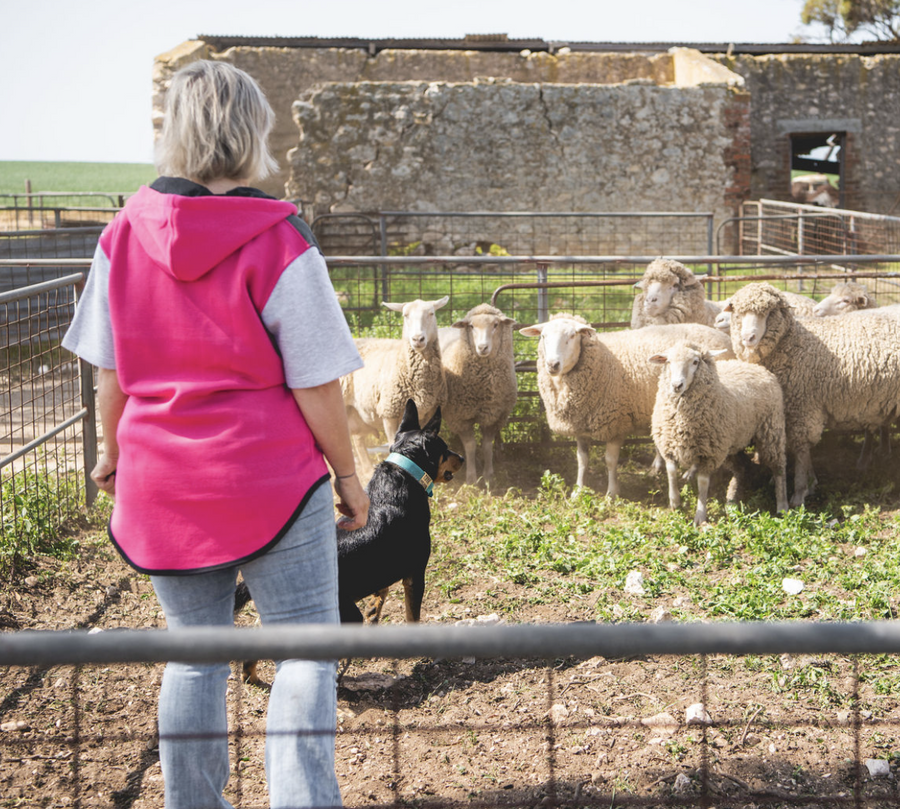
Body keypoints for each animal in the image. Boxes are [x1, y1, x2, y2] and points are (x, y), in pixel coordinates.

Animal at [341, 296, 449, 469]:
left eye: (431, 313)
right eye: (405, 315)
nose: (417, 339)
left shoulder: (426, 412)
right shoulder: (389, 412)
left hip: (354, 409)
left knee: (357, 439)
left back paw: (366, 468)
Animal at [440, 303, 518, 486]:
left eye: (496, 325)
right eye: (471, 326)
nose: (483, 347)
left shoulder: (494, 416)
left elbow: (487, 446)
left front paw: (489, 477)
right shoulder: (460, 417)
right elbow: (471, 446)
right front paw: (471, 479)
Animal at [518, 315, 733, 496]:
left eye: (572, 336)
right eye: (543, 336)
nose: (552, 365)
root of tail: (724, 338)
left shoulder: (616, 424)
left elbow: (610, 461)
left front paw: (612, 493)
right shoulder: (580, 425)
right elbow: (582, 460)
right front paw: (578, 491)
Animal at [649, 341, 788, 525]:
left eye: (695, 362)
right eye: (668, 361)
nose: (676, 385)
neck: (681, 420)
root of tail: (753, 366)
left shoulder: (710, 454)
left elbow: (703, 484)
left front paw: (700, 516)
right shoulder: (669, 444)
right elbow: (671, 473)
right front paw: (675, 503)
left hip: (771, 431)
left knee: (779, 468)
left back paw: (782, 505)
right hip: (732, 442)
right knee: (742, 467)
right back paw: (732, 498)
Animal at [725, 282, 900, 506]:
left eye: (770, 312)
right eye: (738, 312)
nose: (748, 338)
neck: (793, 341)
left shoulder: (804, 407)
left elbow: (801, 450)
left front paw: (800, 492)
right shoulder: (790, 409)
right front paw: (809, 481)